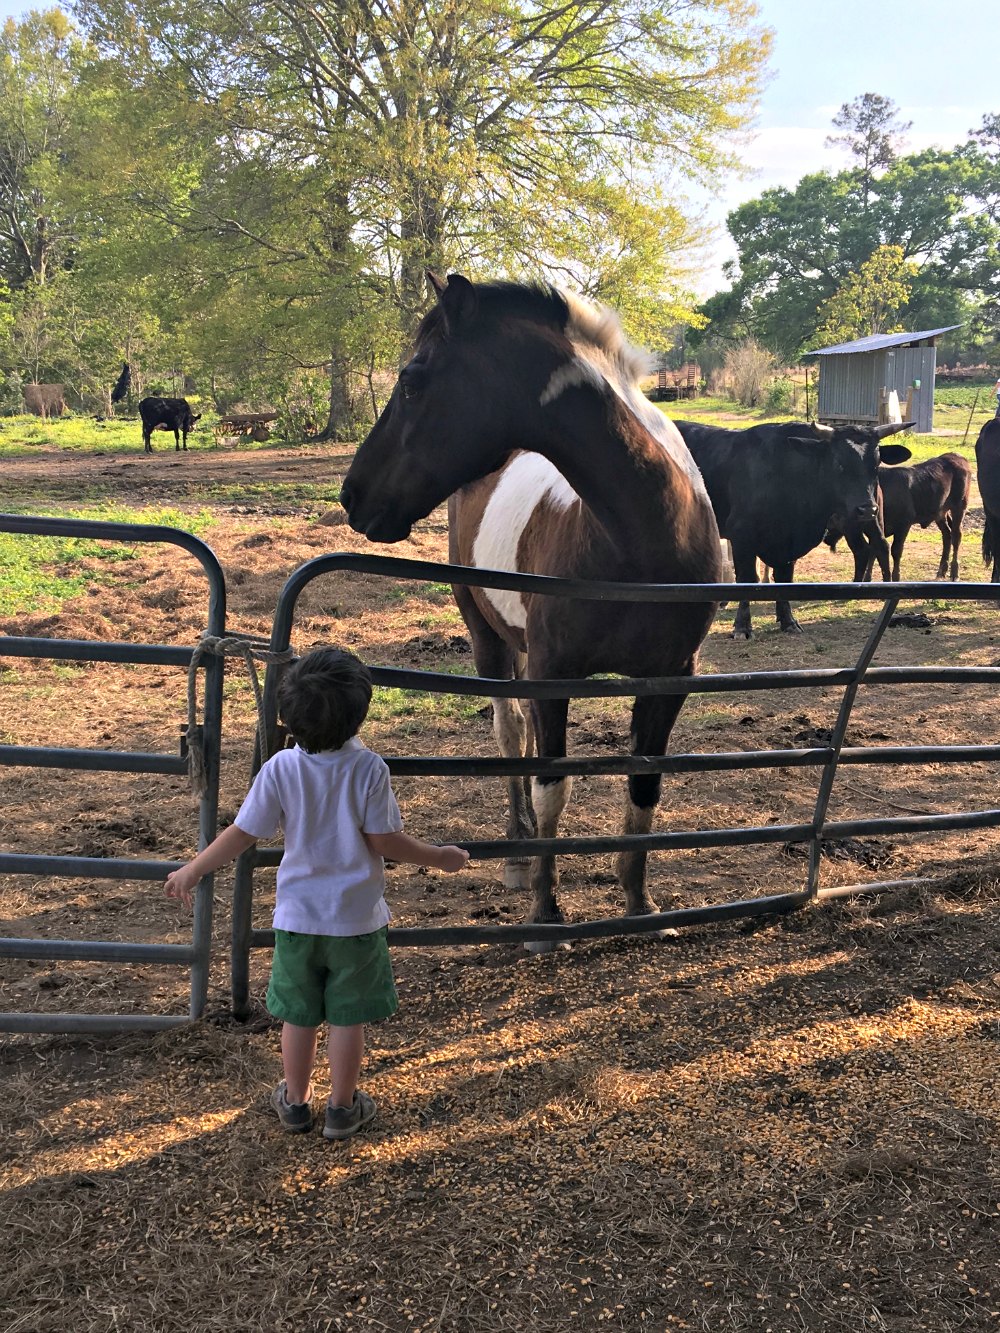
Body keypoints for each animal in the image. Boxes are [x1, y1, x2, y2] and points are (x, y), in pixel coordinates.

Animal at [677, 421, 912, 639]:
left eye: (876, 464)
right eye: (839, 463)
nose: (867, 509)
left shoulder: (788, 544)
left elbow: (784, 579)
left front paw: (788, 621)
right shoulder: (742, 538)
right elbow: (746, 579)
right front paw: (742, 627)